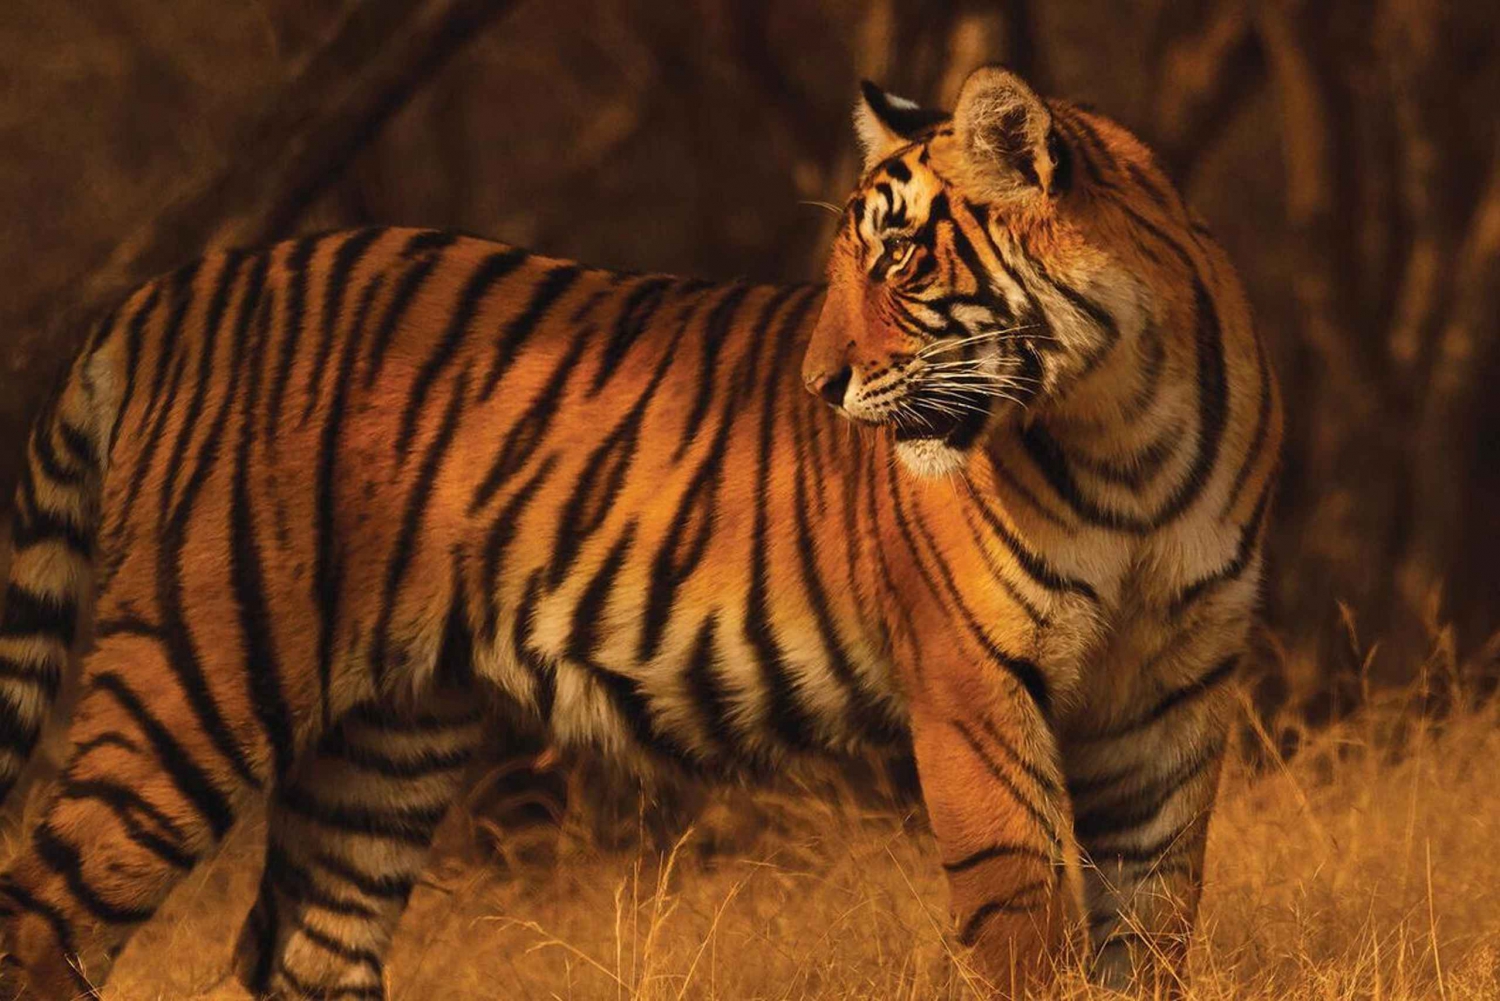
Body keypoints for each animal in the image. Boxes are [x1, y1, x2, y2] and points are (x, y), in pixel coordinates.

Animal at [0, 65, 1279, 998]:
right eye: (849, 263)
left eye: (903, 256)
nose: (819, 384)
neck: (1122, 426)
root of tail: (171, 286)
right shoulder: (975, 684)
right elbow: (1023, 917)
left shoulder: (1169, 698)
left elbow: (1154, 919)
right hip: (198, 672)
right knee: (43, 911)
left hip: (384, 740)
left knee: (305, 948)